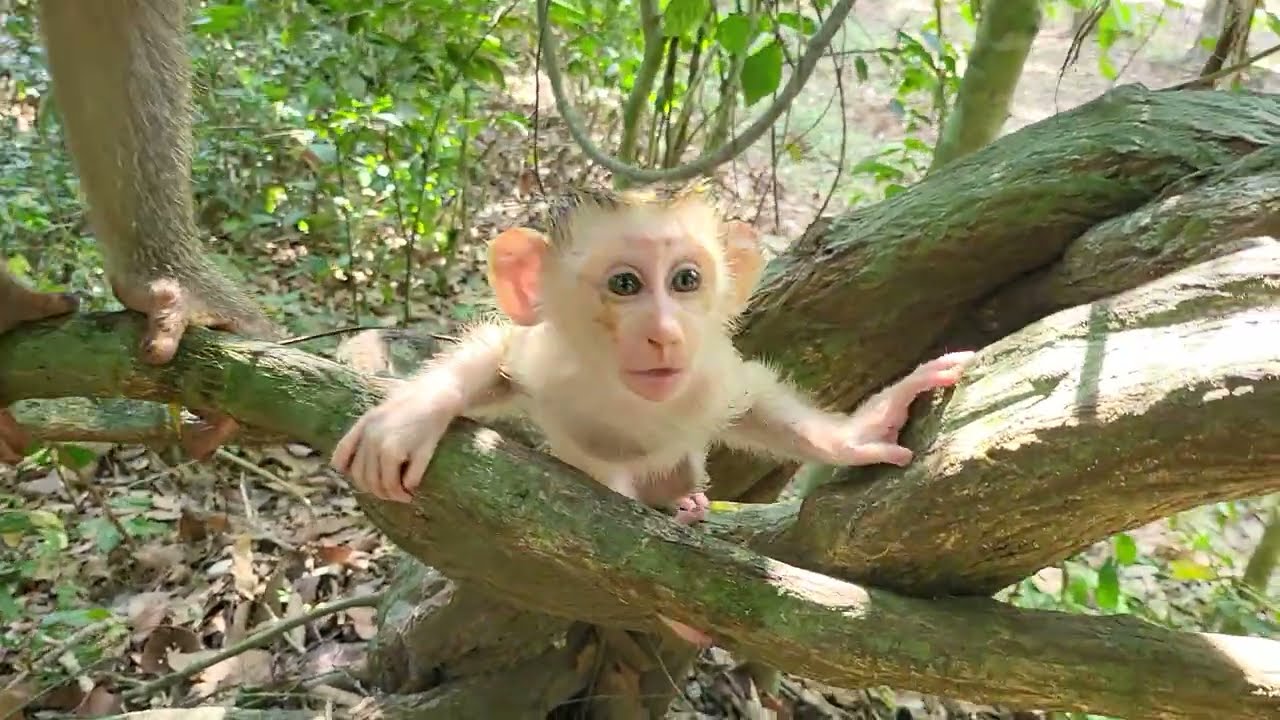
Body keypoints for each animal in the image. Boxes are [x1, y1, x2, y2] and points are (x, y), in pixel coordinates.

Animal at [329, 186, 973, 645]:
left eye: (686, 280)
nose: (665, 333)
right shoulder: (551, 363)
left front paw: (859, 432)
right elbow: (502, 359)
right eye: (625, 284)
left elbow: (749, 401)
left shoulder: (704, 376)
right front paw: (414, 413)